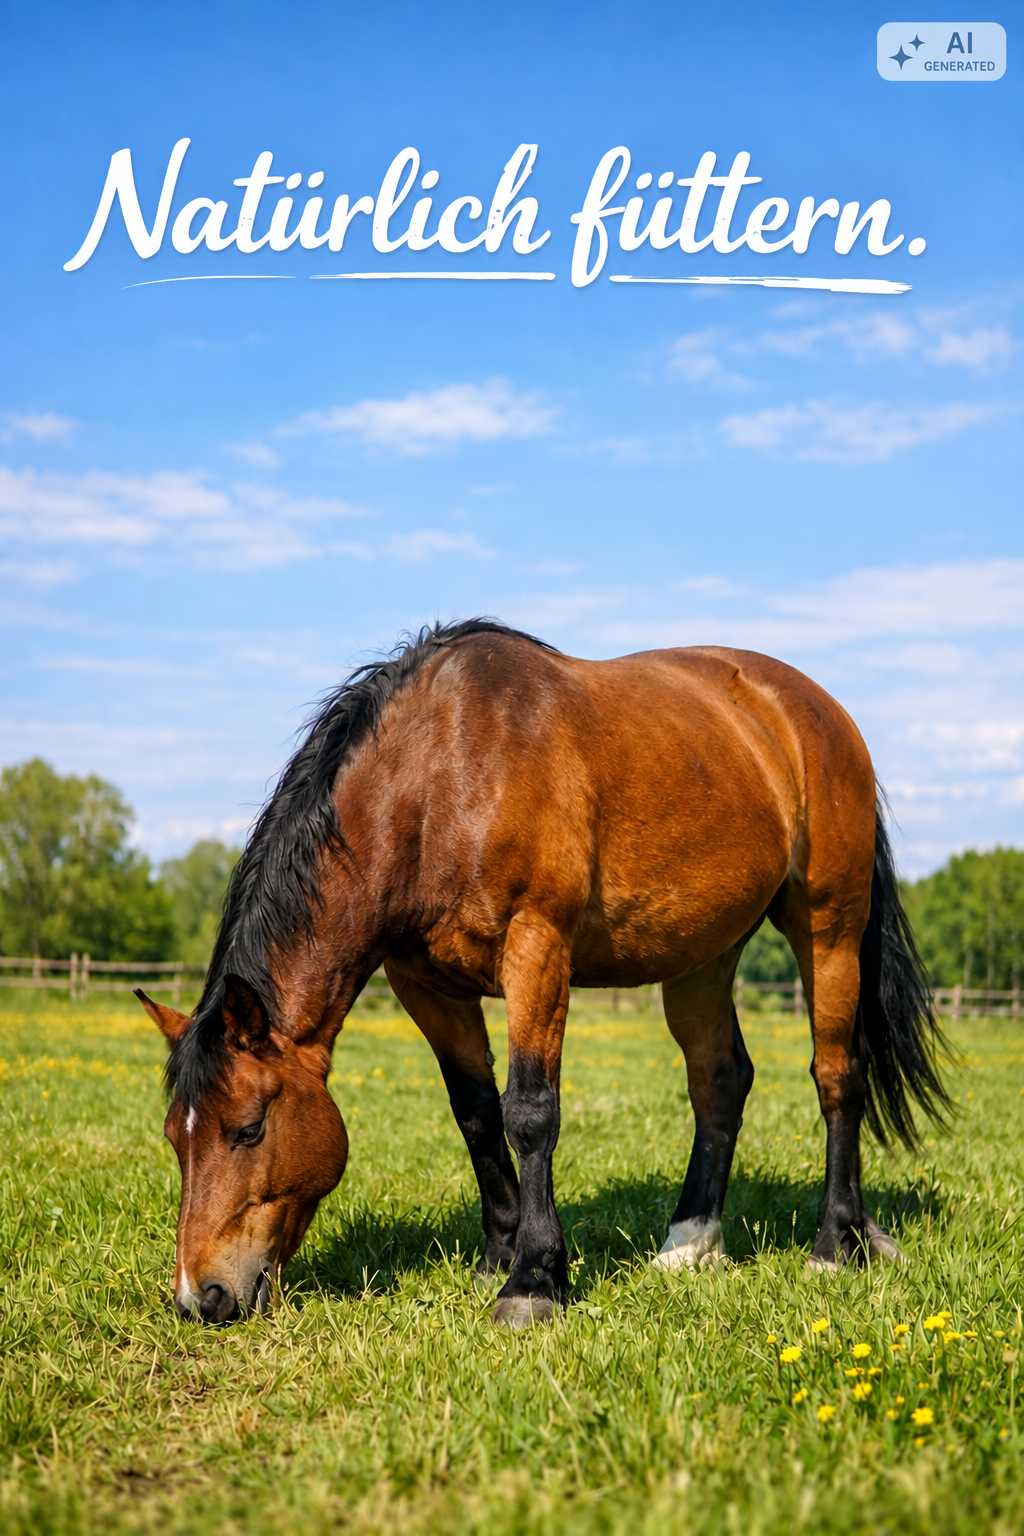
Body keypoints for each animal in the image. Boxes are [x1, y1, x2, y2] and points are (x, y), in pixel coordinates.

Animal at [135, 619, 950, 1327]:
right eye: (177, 1138)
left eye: (247, 1130)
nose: (201, 1296)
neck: (442, 774)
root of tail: (816, 712)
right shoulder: (426, 985)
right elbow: (474, 1112)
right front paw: (499, 1255)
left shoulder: (537, 948)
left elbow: (529, 1111)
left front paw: (533, 1281)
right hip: (703, 957)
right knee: (720, 1081)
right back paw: (690, 1243)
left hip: (829, 928)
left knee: (837, 1074)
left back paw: (836, 1242)